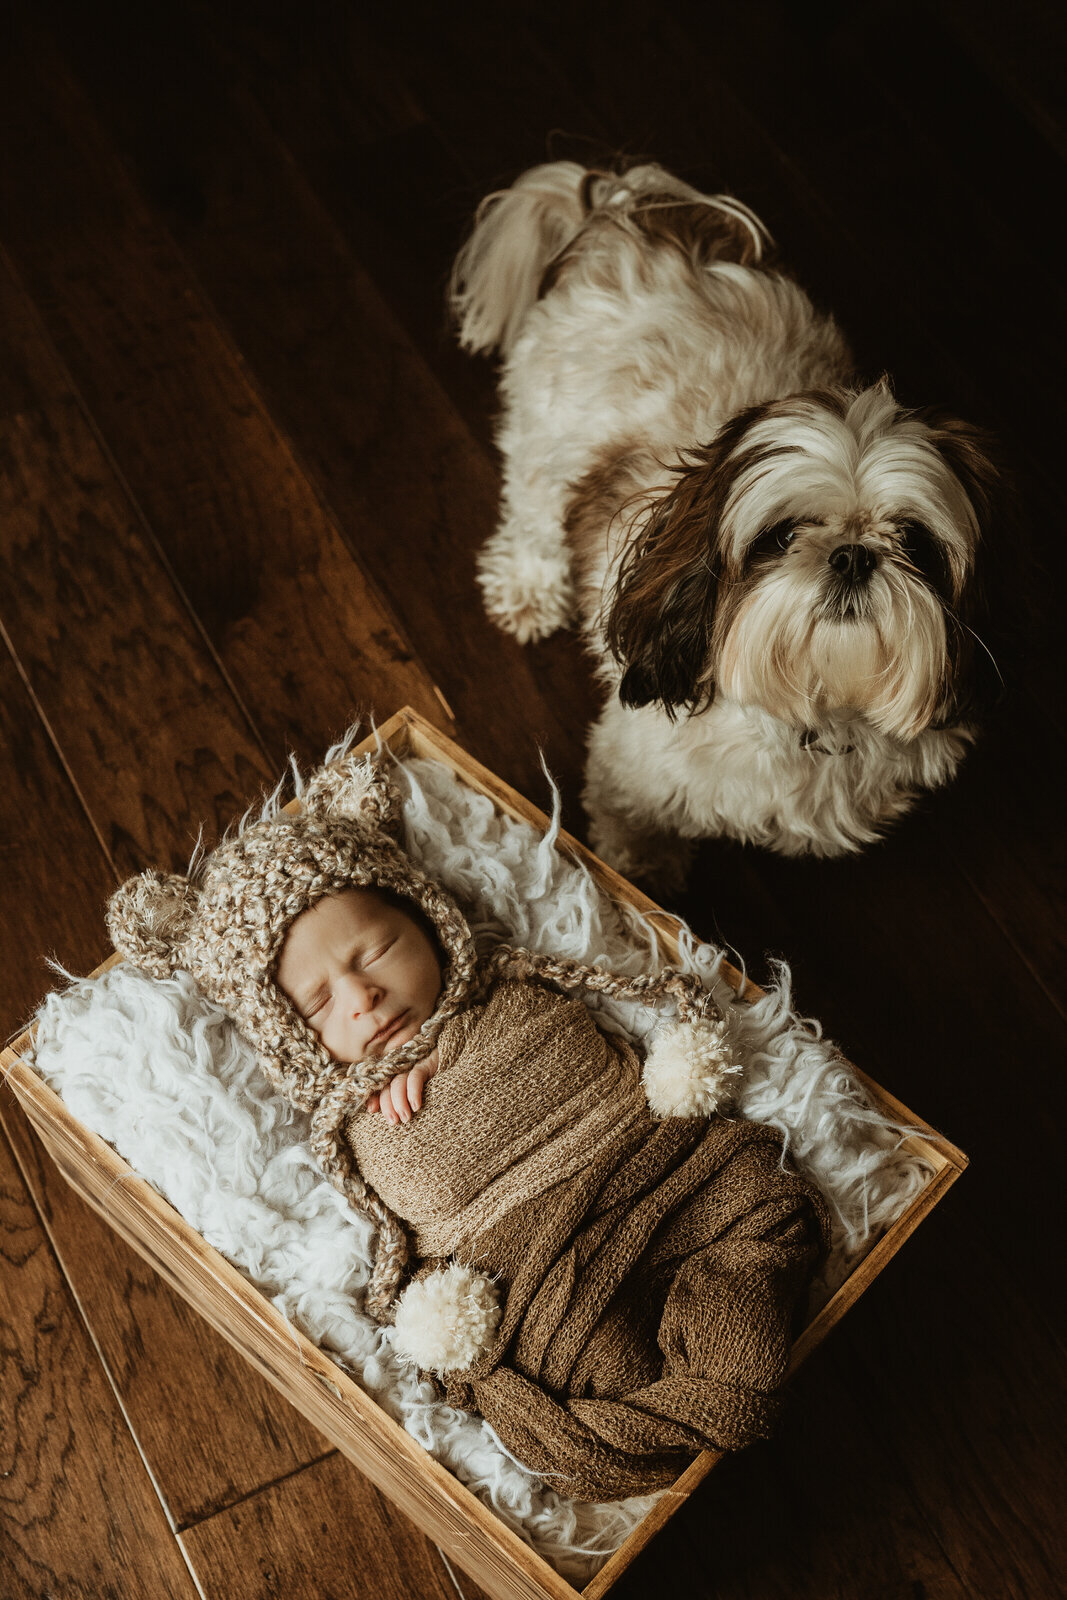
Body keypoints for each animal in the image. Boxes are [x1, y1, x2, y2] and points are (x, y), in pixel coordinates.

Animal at [451, 160, 1004, 883]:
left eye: (913, 541)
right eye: (783, 536)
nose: (853, 553)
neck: (814, 707)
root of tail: (630, 219)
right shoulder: (637, 767)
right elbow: (633, 818)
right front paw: (640, 871)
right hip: (544, 443)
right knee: (533, 512)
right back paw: (527, 587)